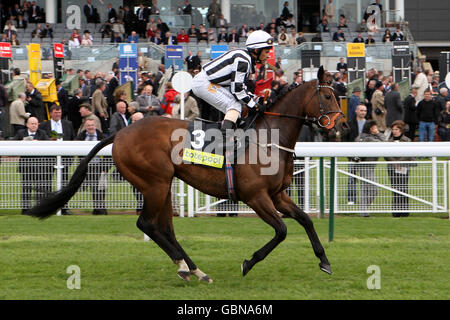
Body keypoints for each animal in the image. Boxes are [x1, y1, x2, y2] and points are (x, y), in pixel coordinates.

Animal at [27, 65, 348, 282]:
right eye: (328, 95)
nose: (341, 127)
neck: (269, 137)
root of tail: (119, 134)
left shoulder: (278, 195)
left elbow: (306, 220)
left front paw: (325, 261)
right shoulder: (256, 197)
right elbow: (281, 231)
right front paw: (248, 263)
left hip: (164, 184)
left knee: (164, 227)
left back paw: (192, 269)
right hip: (155, 183)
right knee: (147, 224)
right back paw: (187, 267)